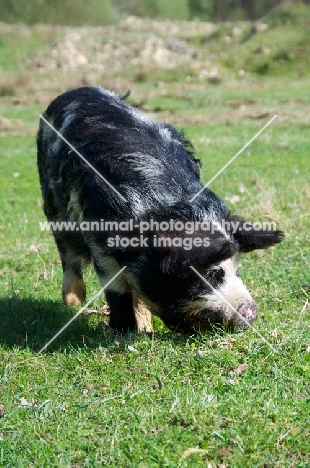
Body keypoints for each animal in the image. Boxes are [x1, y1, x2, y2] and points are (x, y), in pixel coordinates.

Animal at [37, 87, 284, 332]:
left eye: (236, 269)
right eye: (210, 274)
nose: (250, 310)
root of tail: (77, 90)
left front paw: (145, 330)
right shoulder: (99, 239)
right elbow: (117, 291)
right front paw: (121, 332)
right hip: (53, 209)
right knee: (67, 254)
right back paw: (73, 303)